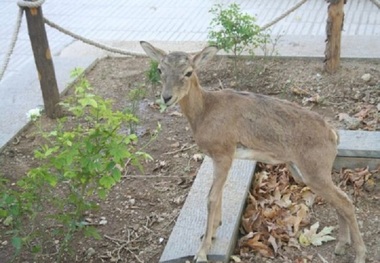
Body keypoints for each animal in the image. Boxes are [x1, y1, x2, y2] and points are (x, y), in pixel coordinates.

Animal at [140, 41, 366, 263]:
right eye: (160, 70)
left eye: (188, 72)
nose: (166, 97)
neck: (205, 111)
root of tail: (333, 133)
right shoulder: (218, 157)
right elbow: (218, 193)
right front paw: (211, 234)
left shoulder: (223, 154)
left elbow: (211, 198)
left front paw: (201, 253)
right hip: (308, 173)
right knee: (339, 200)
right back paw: (341, 246)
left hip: (314, 171)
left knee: (345, 201)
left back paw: (359, 255)